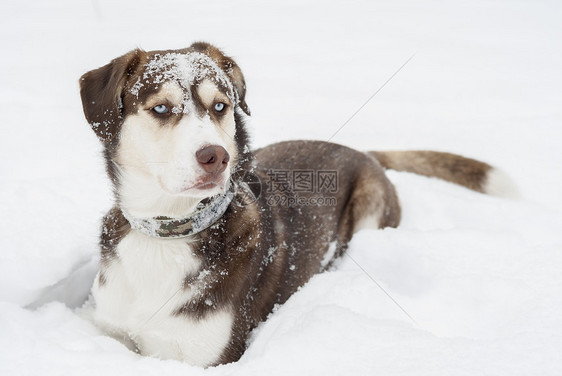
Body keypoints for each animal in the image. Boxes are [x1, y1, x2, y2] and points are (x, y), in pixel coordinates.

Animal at [79, 41, 504, 368]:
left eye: (220, 107)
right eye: (161, 108)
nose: (216, 157)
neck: (166, 233)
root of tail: (363, 152)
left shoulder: (207, 357)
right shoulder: (110, 330)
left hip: (370, 209)